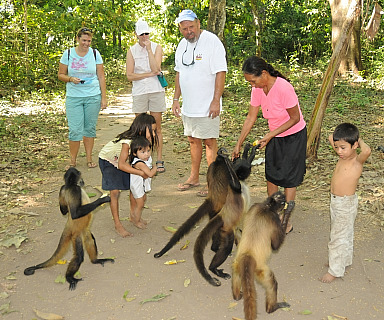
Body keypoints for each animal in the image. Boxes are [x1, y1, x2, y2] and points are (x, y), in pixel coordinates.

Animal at [154, 142, 258, 284]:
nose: (232, 159)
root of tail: (212, 198)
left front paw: (247, 150)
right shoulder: (233, 181)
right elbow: (235, 179)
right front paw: (231, 155)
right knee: (225, 241)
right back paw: (214, 261)